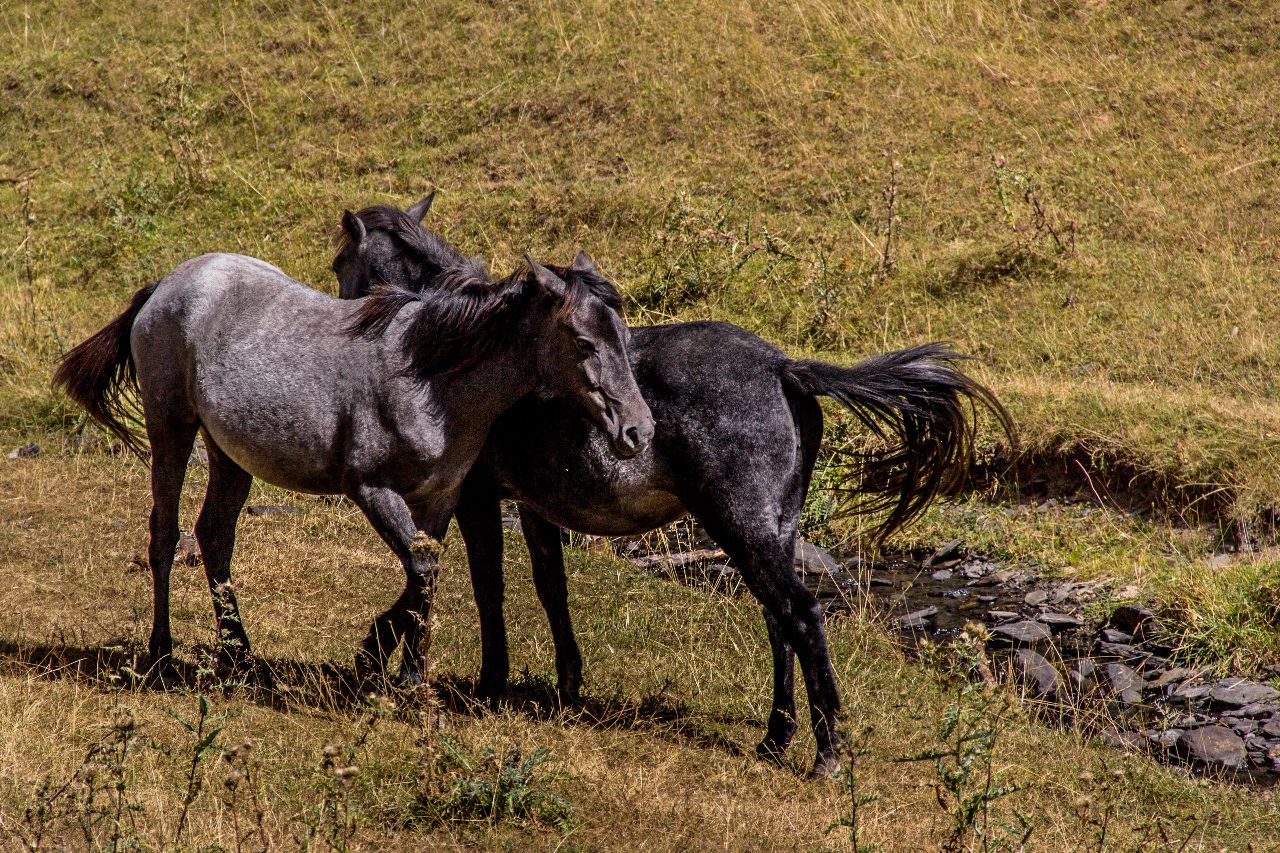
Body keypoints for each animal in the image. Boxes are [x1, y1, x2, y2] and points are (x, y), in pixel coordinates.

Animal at [52, 247, 650, 686]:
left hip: (230, 456)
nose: (638, 432)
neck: (430, 382)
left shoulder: (440, 498)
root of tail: (165, 286)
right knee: (165, 534)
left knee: (215, 537)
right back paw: (162, 656)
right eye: (583, 340)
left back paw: (240, 656)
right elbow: (422, 570)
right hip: (171, 430)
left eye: (624, 336)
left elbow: (425, 574)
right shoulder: (372, 490)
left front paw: (403, 671)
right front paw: (388, 664)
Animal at [335, 197, 1013, 768]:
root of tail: (784, 367)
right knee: (778, 620)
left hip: (739, 525)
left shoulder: (473, 497)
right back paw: (775, 737)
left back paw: (826, 751)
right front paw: (565, 682)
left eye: (343, 262)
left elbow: (466, 583)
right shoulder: (534, 507)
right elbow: (549, 587)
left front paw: (447, 674)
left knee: (800, 613)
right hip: (773, 529)